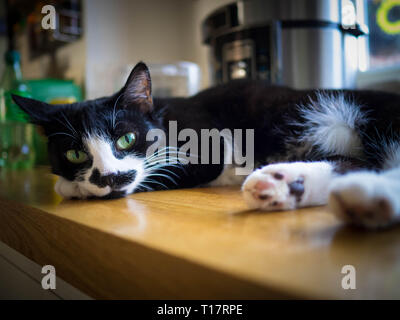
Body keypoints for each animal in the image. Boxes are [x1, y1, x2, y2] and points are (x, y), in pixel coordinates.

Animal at [12, 61, 400, 229]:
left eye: (126, 138)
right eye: (75, 153)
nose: (107, 178)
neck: (163, 116)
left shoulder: (207, 145)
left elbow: (164, 174)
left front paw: (70, 187)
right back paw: (288, 185)